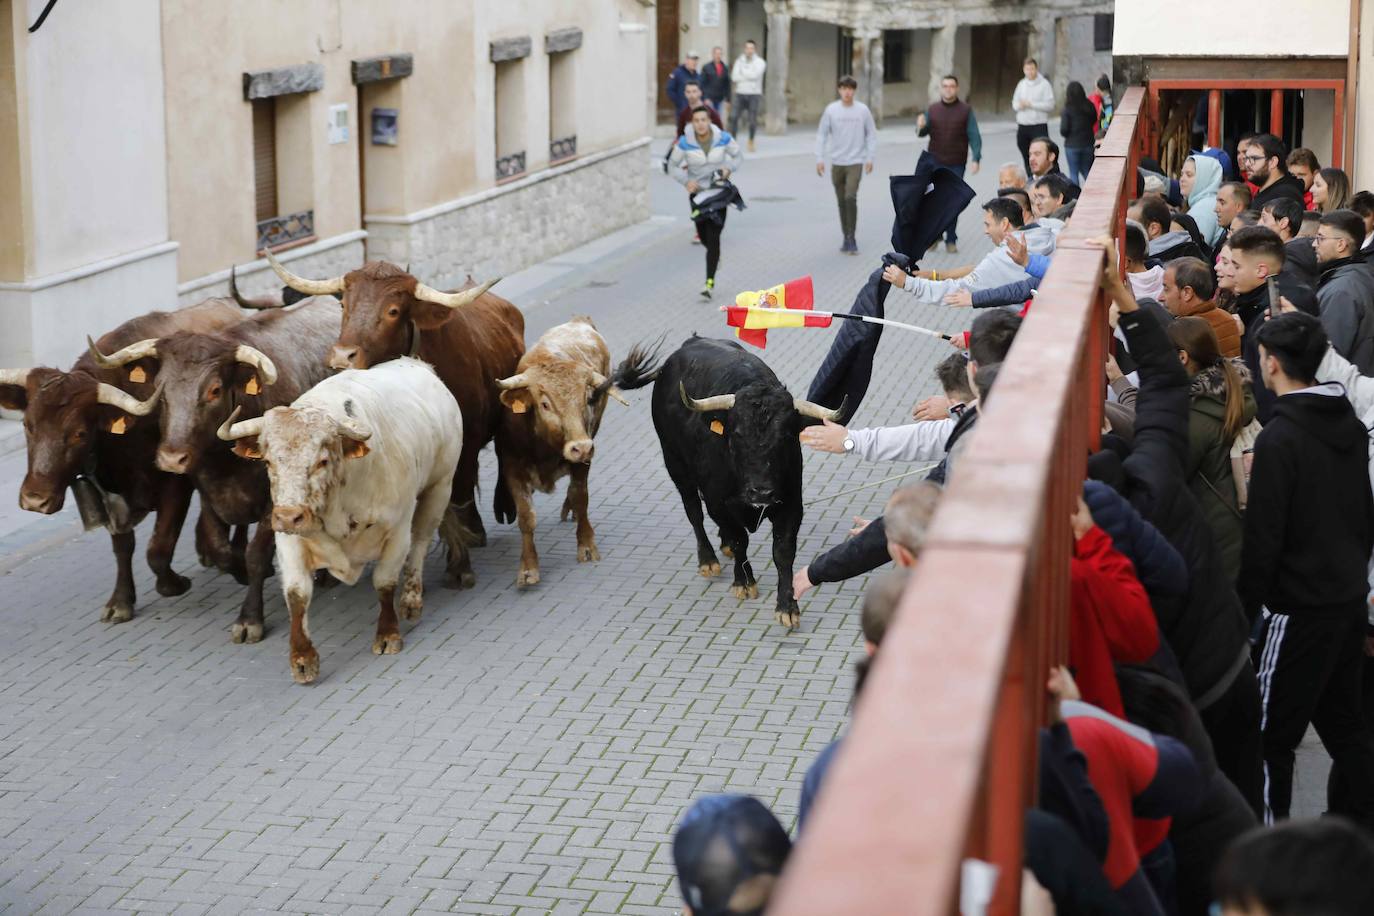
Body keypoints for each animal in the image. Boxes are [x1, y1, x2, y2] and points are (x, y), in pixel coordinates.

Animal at [0, 300, 244, 623]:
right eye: (28, 425)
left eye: (79, 434)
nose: (34, 500)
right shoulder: (110, 497)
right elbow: (123, 546)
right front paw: (121, 601)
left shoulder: (175, 487)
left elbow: (158, 548)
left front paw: (173, 584)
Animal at [94, 298, 340, 642]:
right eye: (160, 391)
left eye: (213, 391)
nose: (171, 459)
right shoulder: (207, 490)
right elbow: (219, 546)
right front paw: (238, 571)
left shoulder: (274, 502)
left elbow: (255, 554)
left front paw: (250, 618)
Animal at [218, 357, 461, 681]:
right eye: (268, 461)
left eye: (321, 461)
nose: (288, 516)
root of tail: (418, 366)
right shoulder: (289, 541)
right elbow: (296, 594)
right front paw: (303, 658)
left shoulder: (397, 530)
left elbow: (384, 581)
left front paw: (388, 634)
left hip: (439, 487)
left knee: (420, 543)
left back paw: (411, 600)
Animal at [263, 254, 524, 590]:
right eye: (343, 304)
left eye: (393, 311)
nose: (342, 356)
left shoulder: (462, 445)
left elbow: (457, 497)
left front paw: (460, 561)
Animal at [621, 336, 835, 631]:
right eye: (737, 434)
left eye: (785, 437)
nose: (761, 492)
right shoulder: (717, 503)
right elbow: (739, 539)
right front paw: (744, 582)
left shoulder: (791, 504)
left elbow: (783, 552)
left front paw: (787, 606)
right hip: (676, 465)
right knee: (694, 513)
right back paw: (708, 559)